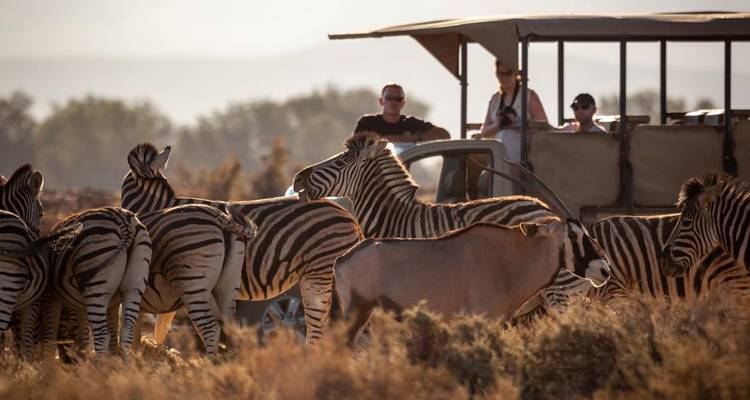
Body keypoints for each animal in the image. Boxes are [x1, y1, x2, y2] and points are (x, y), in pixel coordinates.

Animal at [40, 206, 152, 357]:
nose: (68, 360)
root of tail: (125, 221)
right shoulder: (102, 304)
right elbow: (87, 336)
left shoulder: (50, 296)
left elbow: (50, 336)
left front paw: (47, 362)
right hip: (135, 286)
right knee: (126, 332)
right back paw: (124, 363)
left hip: (96, 289)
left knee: (102, 335)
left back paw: (99, 364)